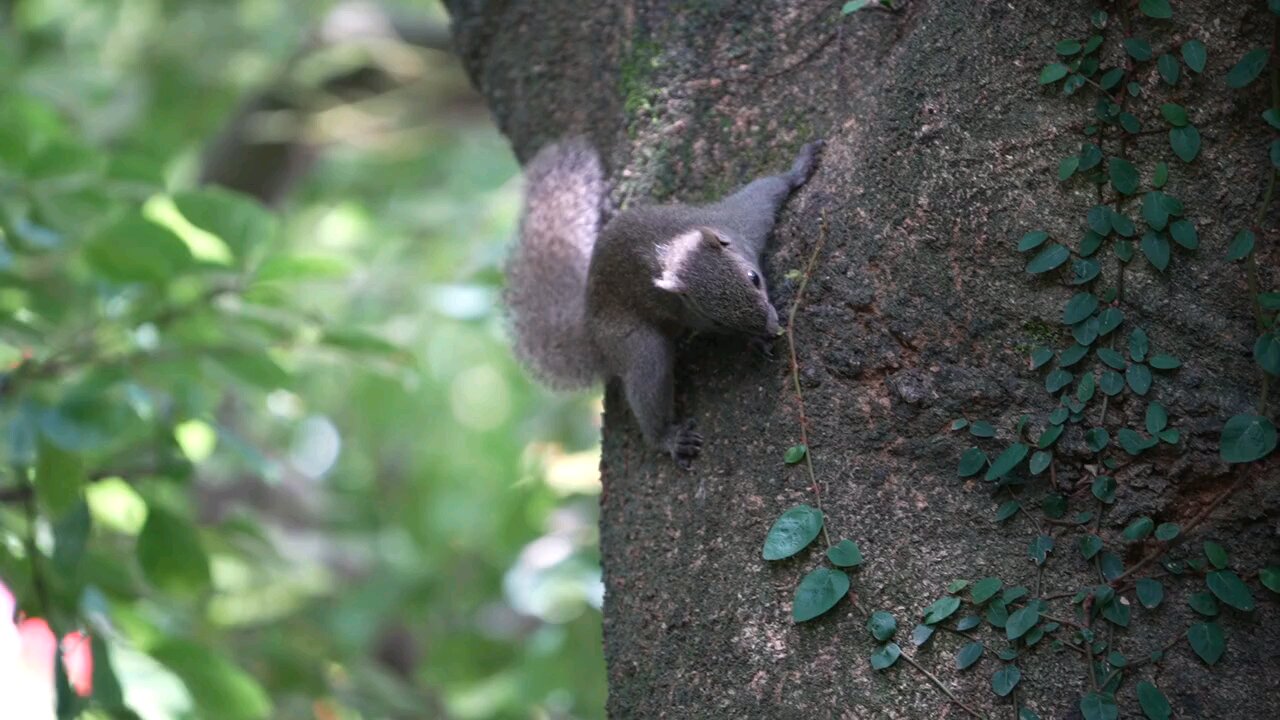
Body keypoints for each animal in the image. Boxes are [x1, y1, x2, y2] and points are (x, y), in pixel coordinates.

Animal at [504, 138, 823, 468]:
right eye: (718, 319)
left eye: (754, 278)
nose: (771, 327)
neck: (675, 250)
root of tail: (592, 334)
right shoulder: (690, 311)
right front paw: (756, 338)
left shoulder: (741, 222)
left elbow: (766, 189)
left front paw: (799, 167)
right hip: (636, 345)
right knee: (648, 383)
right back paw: (668, 438)